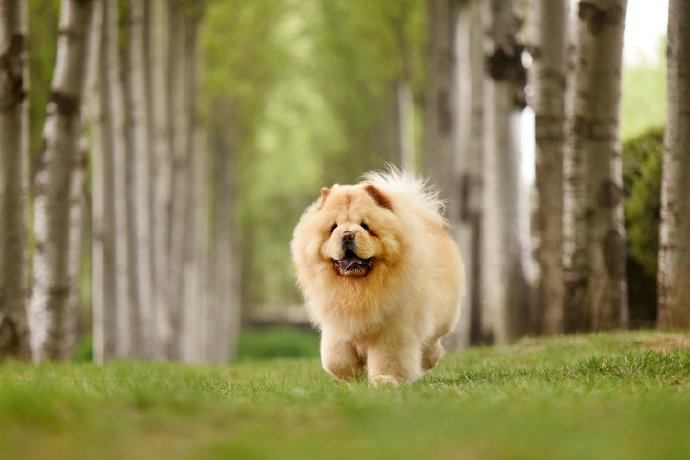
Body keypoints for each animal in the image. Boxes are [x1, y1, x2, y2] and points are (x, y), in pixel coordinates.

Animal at [290, 169, 462, 384]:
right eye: (333, 228)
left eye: (365, 226)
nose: (347, 234)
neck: (358, 289)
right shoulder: (338, 325)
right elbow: (335, 359)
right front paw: (352, 374)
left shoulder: (392, 327)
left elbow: (389, 358)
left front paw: (385, 380)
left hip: (442, 316)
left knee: (431, 341)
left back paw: (429, 359)